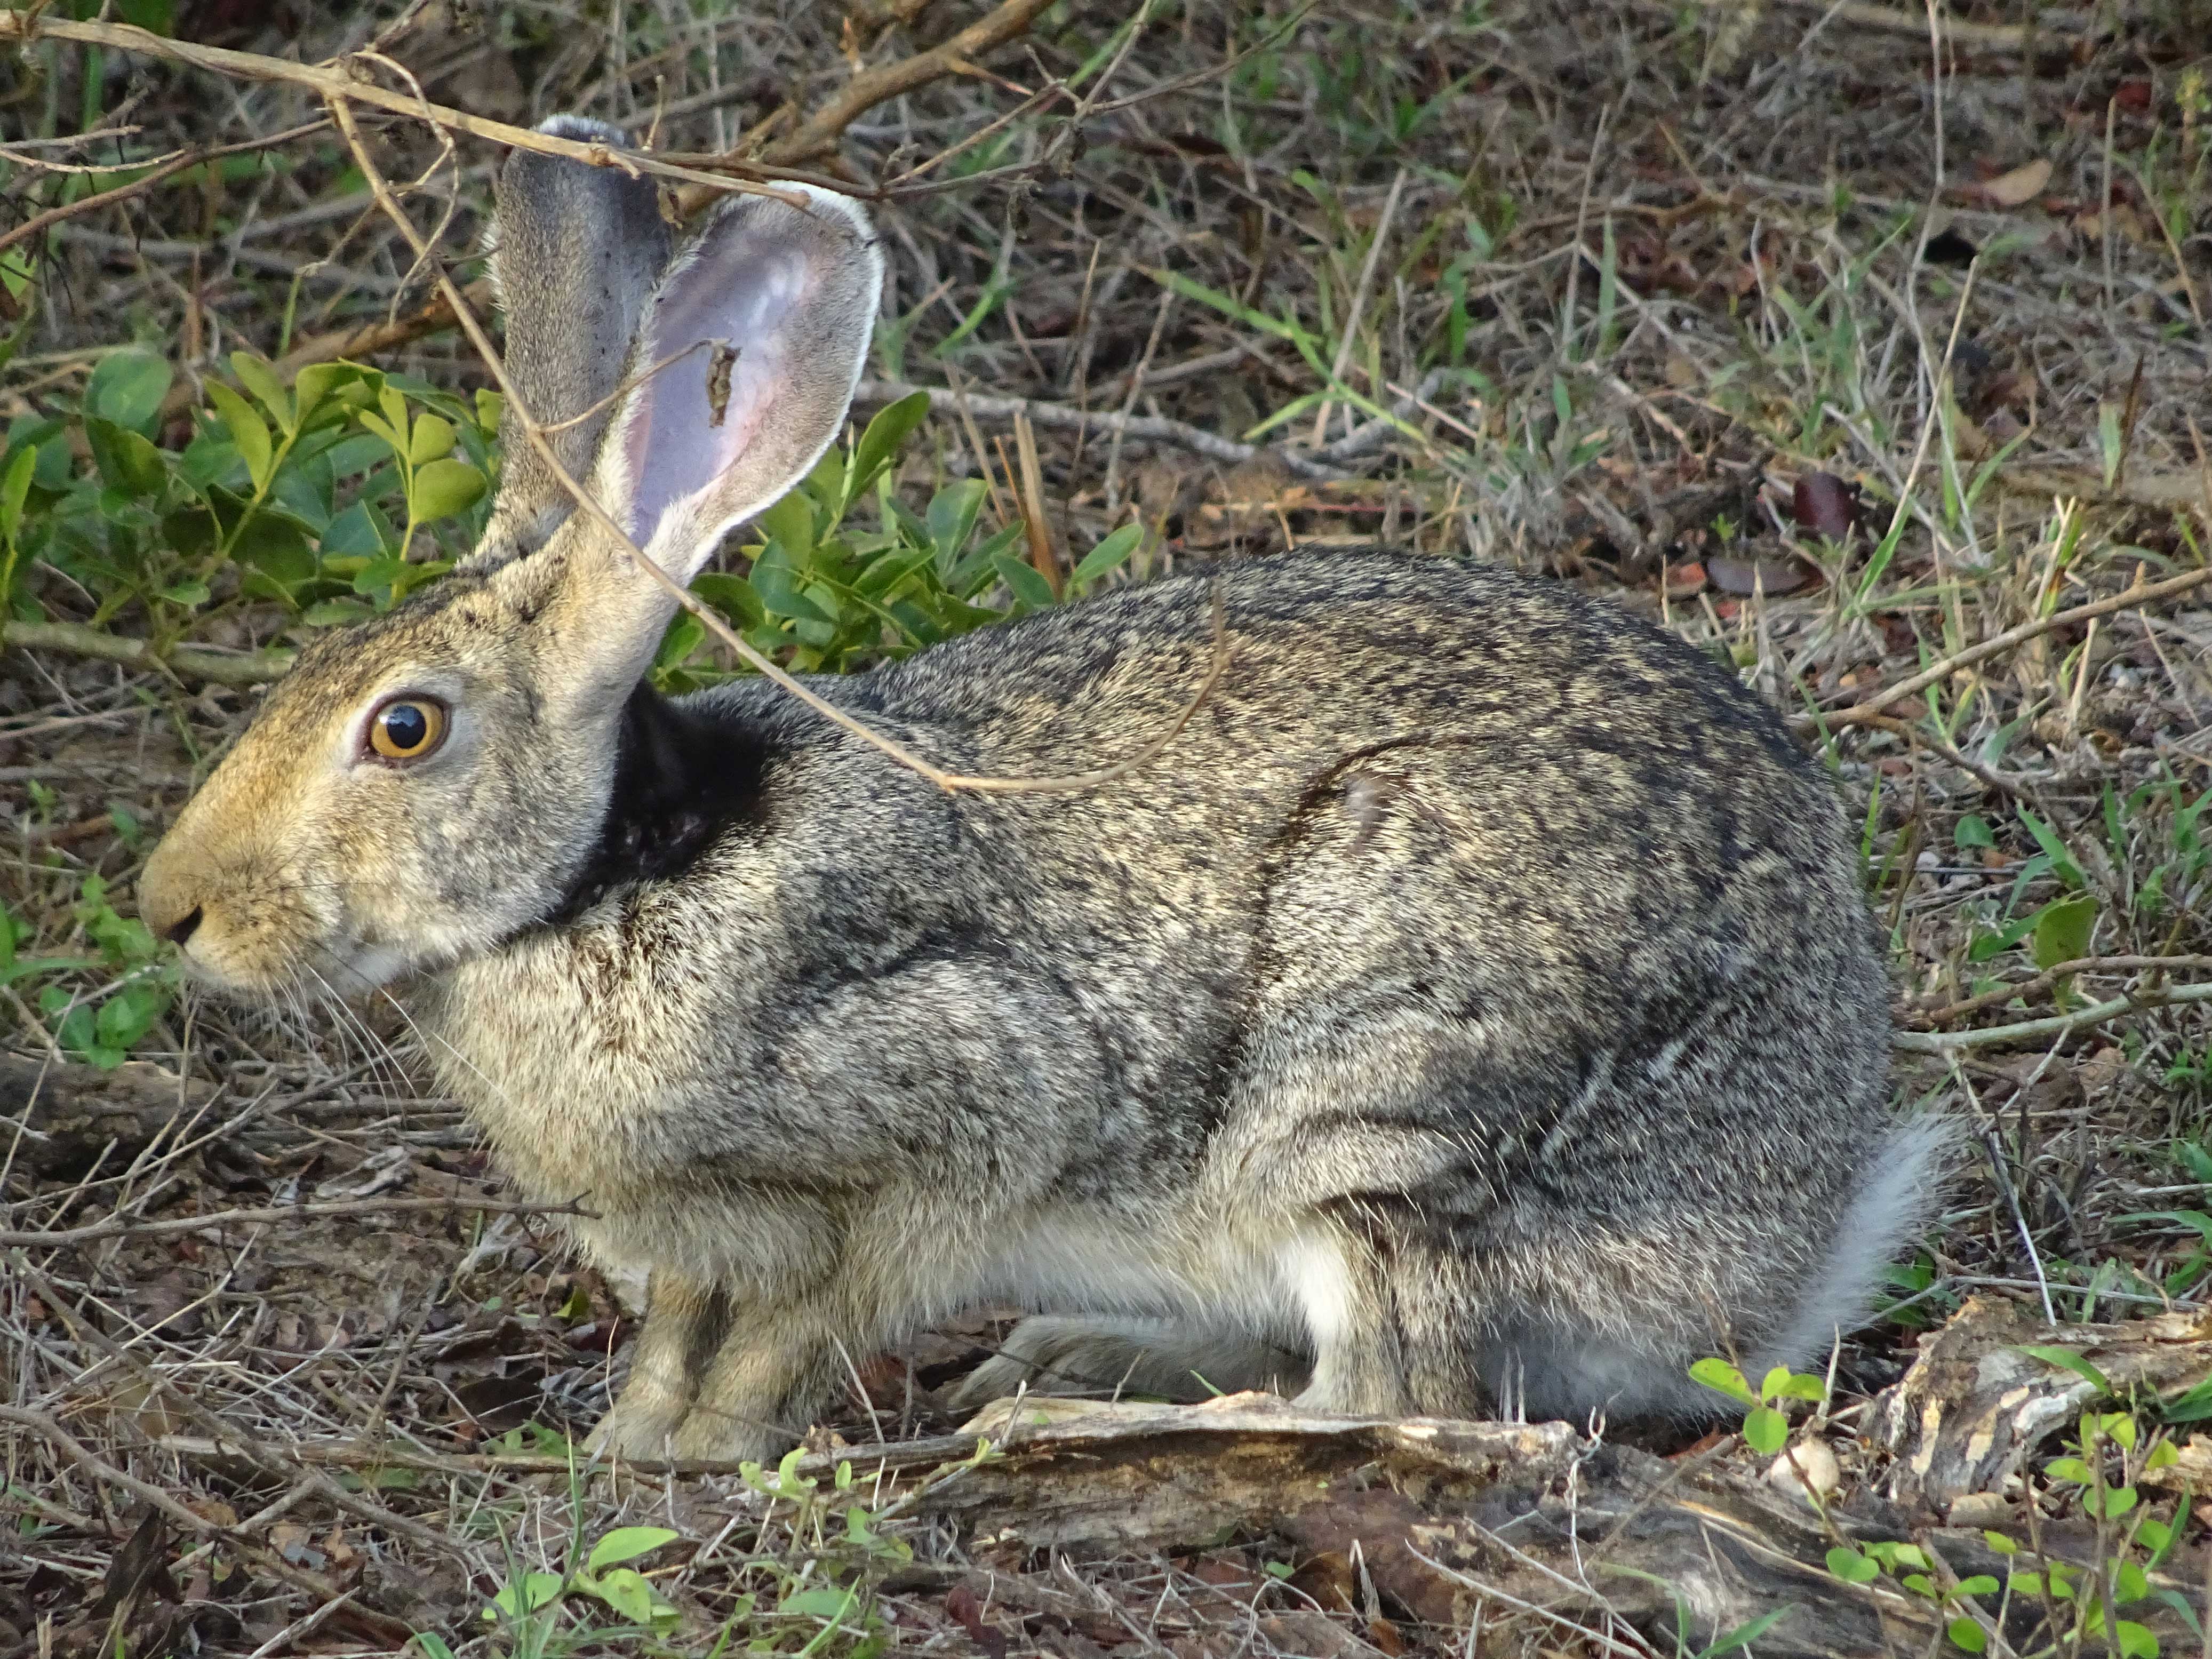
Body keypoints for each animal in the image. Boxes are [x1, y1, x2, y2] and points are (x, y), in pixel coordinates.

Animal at [139, 117, 1946, 1462]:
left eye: (403, 731)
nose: (174, 910)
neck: (615, 872)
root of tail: (1781, 1259)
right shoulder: (692, 1245)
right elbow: (676, 1331)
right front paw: (624, 1449)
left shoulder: (933, 1135)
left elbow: (801, 1322)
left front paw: (706, 1451)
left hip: (1384, 1099)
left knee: (1395, 1398)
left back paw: (1079, 1420)